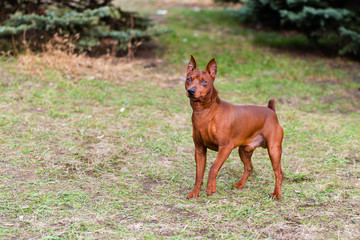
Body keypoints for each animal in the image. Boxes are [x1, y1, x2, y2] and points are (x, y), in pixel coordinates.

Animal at [186, 55, 284, 200]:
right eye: (188, 79)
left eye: (204, 82)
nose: (191, 91)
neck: (204, 112)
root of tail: (271, 111)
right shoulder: (199, 150)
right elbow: (199, 174)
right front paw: (195, 192)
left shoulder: (225, 148)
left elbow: (213, 168)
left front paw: (211, 187)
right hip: (244, 150)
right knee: (249, 167)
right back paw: (240, 184)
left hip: (273, 150)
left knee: (278, 173)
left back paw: (276, 194)